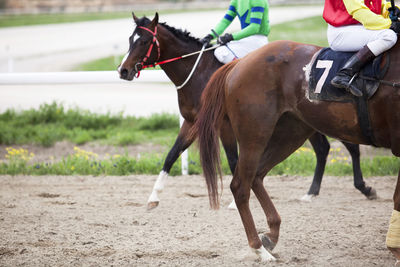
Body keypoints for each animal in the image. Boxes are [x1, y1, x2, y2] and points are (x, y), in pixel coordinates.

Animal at [118, 12, 376, 210]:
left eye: (143, 41)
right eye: (130, 39)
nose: (123, 70)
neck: (200, 72)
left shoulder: (224, 126)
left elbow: (234, 161)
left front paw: (237, 200)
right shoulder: (192, 122)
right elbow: (172, 155)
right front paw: (153, 198)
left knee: (350, 147)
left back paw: (364, 187)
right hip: (306, 121)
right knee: (323, 149)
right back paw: (311, 192)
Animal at [192, 38, 400, 262]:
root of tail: (239, 62)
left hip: (291, 132)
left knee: (257, 176)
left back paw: (272, 234)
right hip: (255, 136)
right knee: (240, 186)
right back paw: (259, 249)